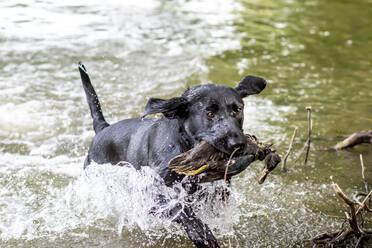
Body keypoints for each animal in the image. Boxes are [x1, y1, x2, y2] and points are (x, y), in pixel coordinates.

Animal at [78, 61, 266, 246]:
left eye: (238, 110)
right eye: (210, 113)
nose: (238, 144)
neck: (185, 145)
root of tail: (103, 128)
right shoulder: (151, 192)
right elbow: (180, 209)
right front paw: (201, 233)